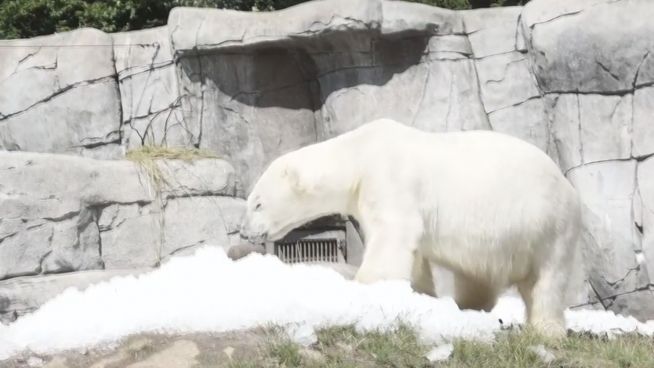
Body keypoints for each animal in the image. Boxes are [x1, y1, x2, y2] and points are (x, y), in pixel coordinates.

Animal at [241, 119, 584, 338]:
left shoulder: (390, 180)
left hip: (549, 225)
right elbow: (415, 254)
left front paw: (364, 286)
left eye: (257, 203)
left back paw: (547, 329)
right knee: (476, 274)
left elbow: (392, 235)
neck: (360, 154)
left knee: (547, 280)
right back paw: (467, 305)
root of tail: (567, 185)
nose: (245, 232)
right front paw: (421, 294)